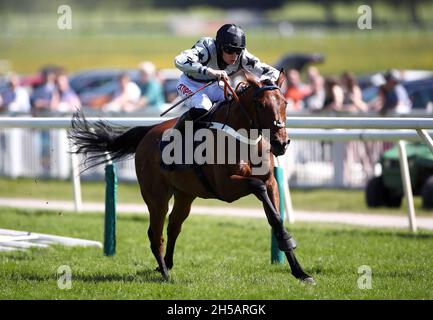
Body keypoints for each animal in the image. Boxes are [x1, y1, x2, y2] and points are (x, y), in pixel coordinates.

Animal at [69, 71, 314, 284]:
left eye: (285, 103)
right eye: (261, 104)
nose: (281, 143)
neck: (243, 139)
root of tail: (148, 134)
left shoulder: (271, 181)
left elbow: (275, 218)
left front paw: (300, 270)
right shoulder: (225, 187)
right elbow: (257, 187)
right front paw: (290, 246)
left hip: (185, 194)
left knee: (173, 225)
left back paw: (166, 263)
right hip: (156, 197)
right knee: (155, 233)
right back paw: (165, 273)